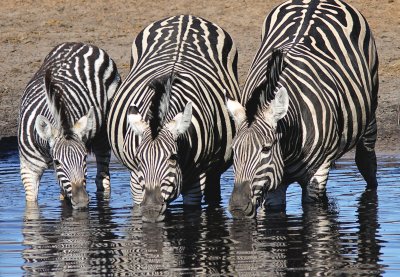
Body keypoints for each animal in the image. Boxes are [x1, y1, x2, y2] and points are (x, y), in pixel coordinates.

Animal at [18, 42, 121, 208]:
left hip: (104, 131)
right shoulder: (29, 167)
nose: (82, 201)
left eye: (84, 158)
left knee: (103, 178)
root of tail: (80, 44)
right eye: (57, 162)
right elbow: (32, 202)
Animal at [107, 14, 241, 222]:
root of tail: (186, 16)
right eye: (139, 158)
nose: (151, 210)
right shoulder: (135, 179)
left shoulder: (197, 178)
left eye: (173, 157)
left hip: (213, 170)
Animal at [225, 0, 378, 218]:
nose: (238, 207)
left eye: (266, 149)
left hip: (370, 104)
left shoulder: (319, 171)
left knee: (366, 159)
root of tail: (314, 1)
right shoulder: (274, 183)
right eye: (234, 150)